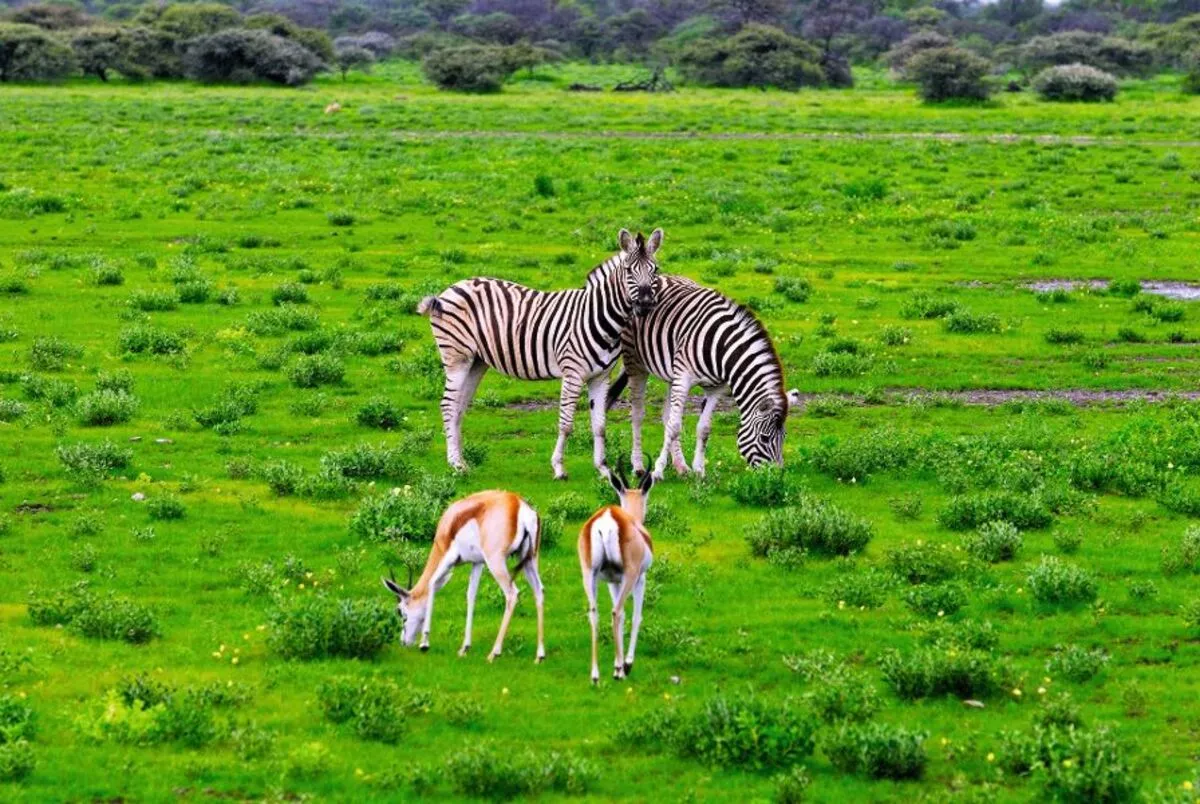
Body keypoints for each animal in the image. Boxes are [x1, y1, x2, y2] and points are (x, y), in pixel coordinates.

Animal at [417, 226, 667, 480]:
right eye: (628, 270)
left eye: (655, 270)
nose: (646, 304)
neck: (599, 316)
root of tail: (451, 288)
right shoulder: (572, 373)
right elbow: (566, 423)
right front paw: (559, 468)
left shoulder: (600, 377)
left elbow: (599, 425)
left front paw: (604, 469)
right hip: (457, 357)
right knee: (448, 405)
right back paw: (455, 464)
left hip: (476, 361)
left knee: (459, 407)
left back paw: (462, 461)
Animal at [604, 273, 801, 482]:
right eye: (764, 438)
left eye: (785, 436)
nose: (776, 476)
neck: (721, 348)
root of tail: (663, 275)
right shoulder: (683, 377)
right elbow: (674, 426)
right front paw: (657, 471)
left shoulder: (716, 388)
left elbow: (703, 428)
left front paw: (699, 470)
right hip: (635, 363)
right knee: (638, 414)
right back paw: (639, 466)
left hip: (671, 375)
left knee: (666, 414)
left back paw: (681, 466)